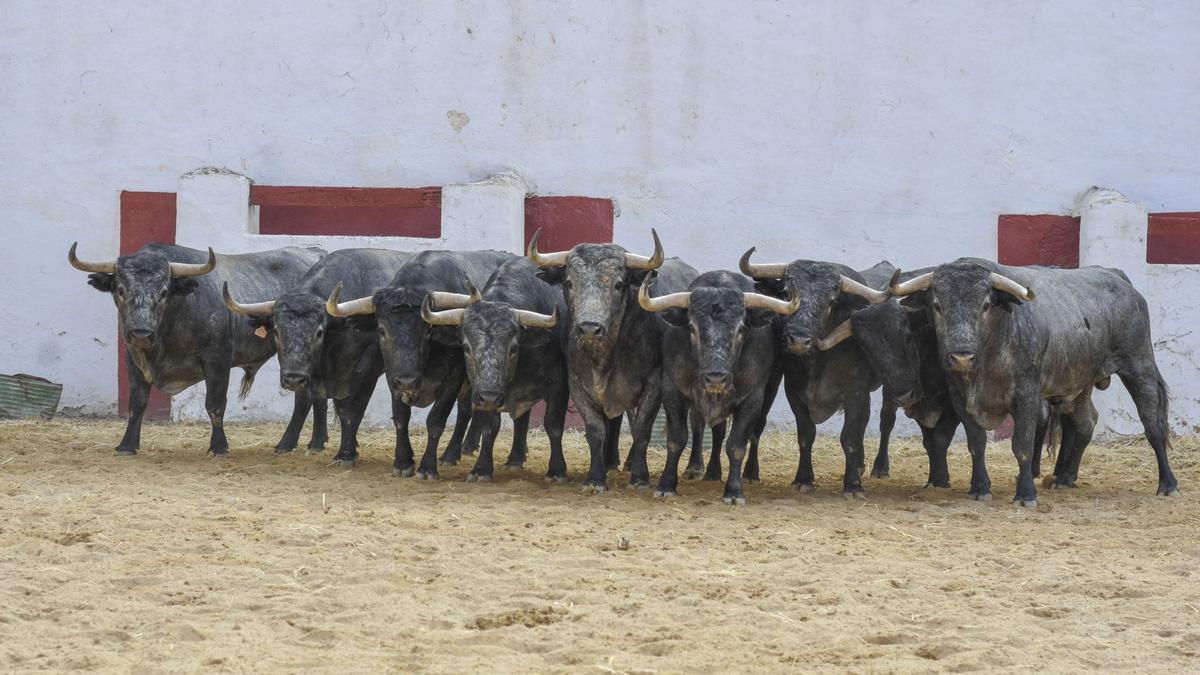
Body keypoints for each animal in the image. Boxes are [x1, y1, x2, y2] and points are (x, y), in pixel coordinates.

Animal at [69, 239, 324, 454]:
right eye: (121, 290)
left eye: (163, 292)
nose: (141, 333)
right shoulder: (133, 359)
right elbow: (137, 404)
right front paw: (127, 445)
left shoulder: (218, 359)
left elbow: (215, 404)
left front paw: (219, 447)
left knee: (304, 397)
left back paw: (287, 443)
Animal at [422, 254, 571, 480]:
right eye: (466, 347)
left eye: (514, 347)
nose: (490, 397)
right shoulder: (484, 391)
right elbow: (490, 427)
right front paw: (482, 468)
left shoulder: (559, 384)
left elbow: (553, 425)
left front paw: (557, 470)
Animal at [530, 228, 700, 492]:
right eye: (569, 283)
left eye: (619, 284)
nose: (589, 328)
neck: (606, 356)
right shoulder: (577, 382)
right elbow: (596, 430)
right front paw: (595, 478)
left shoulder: (654, 381)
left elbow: (642, 429)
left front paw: (640, 477)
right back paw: (612, 462)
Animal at [638, 270, 796, 502]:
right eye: (692, 328)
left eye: (741, 329)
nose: (715, 379)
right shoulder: (672, 389)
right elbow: (677, 439)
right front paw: (666, 485)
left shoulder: (752, 398)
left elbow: (737, 445)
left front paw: (734, 491)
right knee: (704, 427)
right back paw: (703, 469)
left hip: (771, 389)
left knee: (755, 430)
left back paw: (750, 473)